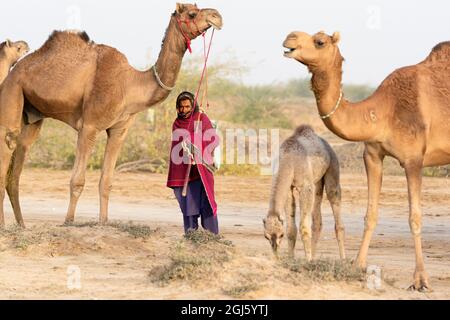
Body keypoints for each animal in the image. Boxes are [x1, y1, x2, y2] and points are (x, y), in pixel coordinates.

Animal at [0, 3, 223, 228]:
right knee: (8, 142)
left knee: (18, 159)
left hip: (31, 116)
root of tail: (13, 71)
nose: (217, 16)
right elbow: (77, 181)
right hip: (13, 90)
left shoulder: (119, 130)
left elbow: (106, 182)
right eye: (192, 13)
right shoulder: (89, 126)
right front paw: (69, 221)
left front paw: (103, 221)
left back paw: (21, 225)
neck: (129, 84)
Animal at [262, 124, 346, 262]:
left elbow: (304, 227)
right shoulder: (289, 188)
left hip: (333, 166)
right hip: (317, 182)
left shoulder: (306, 186)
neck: (288, 160)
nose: (275, 251)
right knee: (317, 216)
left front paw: (307, 260)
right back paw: (314, 257)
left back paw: (343, 259)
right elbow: (291, 228)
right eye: (266, 236)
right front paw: (292, 259)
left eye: (281, 235)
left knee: (333, 196)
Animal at [284, 31, 450, 292]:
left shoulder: (414, 160)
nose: (289, 38)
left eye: (320, 41)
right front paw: (357, 266)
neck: (383, 112)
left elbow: (414, 217)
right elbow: (370, 213)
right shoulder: (372, 155)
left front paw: (420, 280)